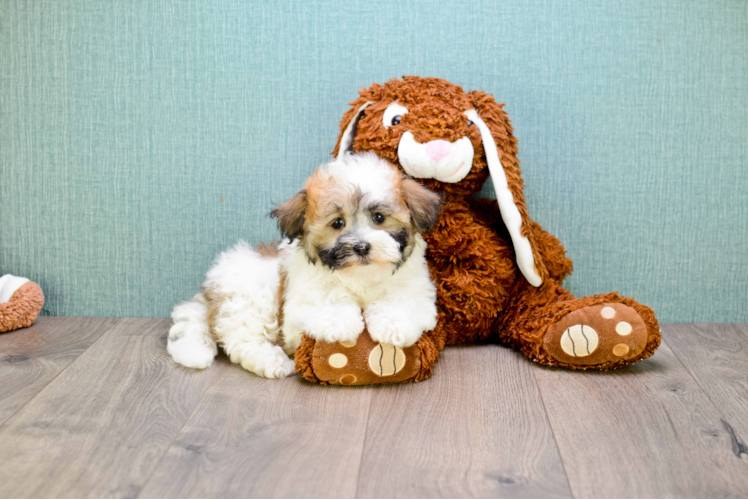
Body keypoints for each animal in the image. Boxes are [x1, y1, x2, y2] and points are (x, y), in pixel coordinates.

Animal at [167, 153, 442, 378]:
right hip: (250, 299)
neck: (360, 278)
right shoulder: (298, 304)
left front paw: (392, 325)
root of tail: (208, 292)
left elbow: (400, 301)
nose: (362, 247)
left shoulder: (417, 290)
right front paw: (340, 323)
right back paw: (273, 362)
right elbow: (326, 301)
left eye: (379, 217)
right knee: (243, 340)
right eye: (337, 223)